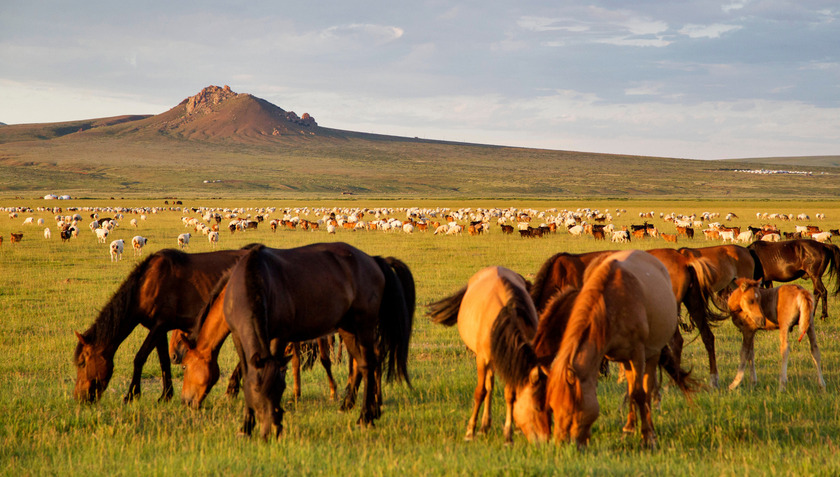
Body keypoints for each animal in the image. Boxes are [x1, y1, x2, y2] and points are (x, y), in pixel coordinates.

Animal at [73, 249, 246, 402]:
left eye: (82, 363)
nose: (79, 398)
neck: (147, 285)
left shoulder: (159, 326)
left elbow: (139, 358)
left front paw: (132, 395)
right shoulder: (159, 330)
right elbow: (164, 361)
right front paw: (166, 395)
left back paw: (232, 389)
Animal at [221, 242, 412, 438]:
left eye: (280, 388)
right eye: (257, 390)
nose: (273, 428)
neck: (254, 279)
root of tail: (372, 260)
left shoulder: (279, 337)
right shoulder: (238, 337)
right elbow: (247, 373)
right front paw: (245, 427)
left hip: (364, 326)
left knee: (368, 364)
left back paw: (365, 416)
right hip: (347, 329)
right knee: (362, 363)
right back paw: (364, 410)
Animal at [426, 268, 540, 442]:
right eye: (537, 406)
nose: (541, 438)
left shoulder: (510, 361)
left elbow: (510, 394)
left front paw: (509, 433)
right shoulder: (482, 359)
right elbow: (480, 392)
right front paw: (470, 431)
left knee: (491, 385)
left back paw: (487, 425)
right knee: (488, 387)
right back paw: (483, 426)